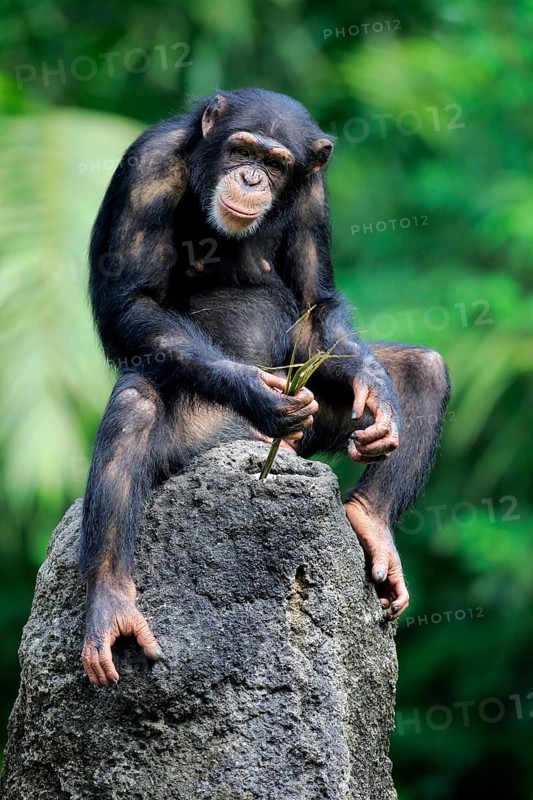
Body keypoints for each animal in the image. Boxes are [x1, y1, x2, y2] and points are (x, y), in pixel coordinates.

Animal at [81, 88, 451, 686]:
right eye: (241, 149)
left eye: (276, 164)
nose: (252, 178)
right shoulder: (148, 167)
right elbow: (132, 302)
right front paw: (258, 393)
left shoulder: (314, 192)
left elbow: (314, 300)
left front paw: (375, 386)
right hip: (199, 433)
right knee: (136, 403)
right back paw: (111, 601)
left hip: (312, 429)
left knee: (427, 368)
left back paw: (371, 523)